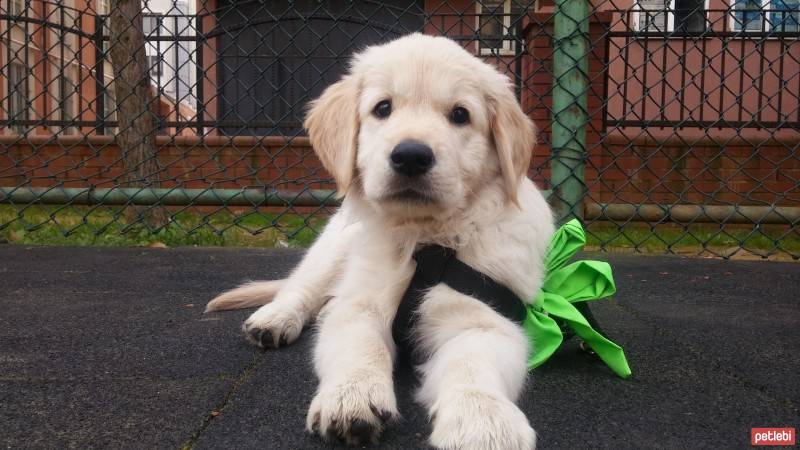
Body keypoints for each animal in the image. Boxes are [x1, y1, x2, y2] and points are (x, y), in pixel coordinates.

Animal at [209, 32, 552, 450]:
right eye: (383, 108)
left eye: (460, 114)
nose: (411, 156)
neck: (424, 242)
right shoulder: (361, 305)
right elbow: (362, 346)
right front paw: (352, 395)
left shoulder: (485, 318)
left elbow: (473, 362)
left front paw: (483, 419)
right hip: (333, 247)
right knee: (300, 288)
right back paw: (274, 319)